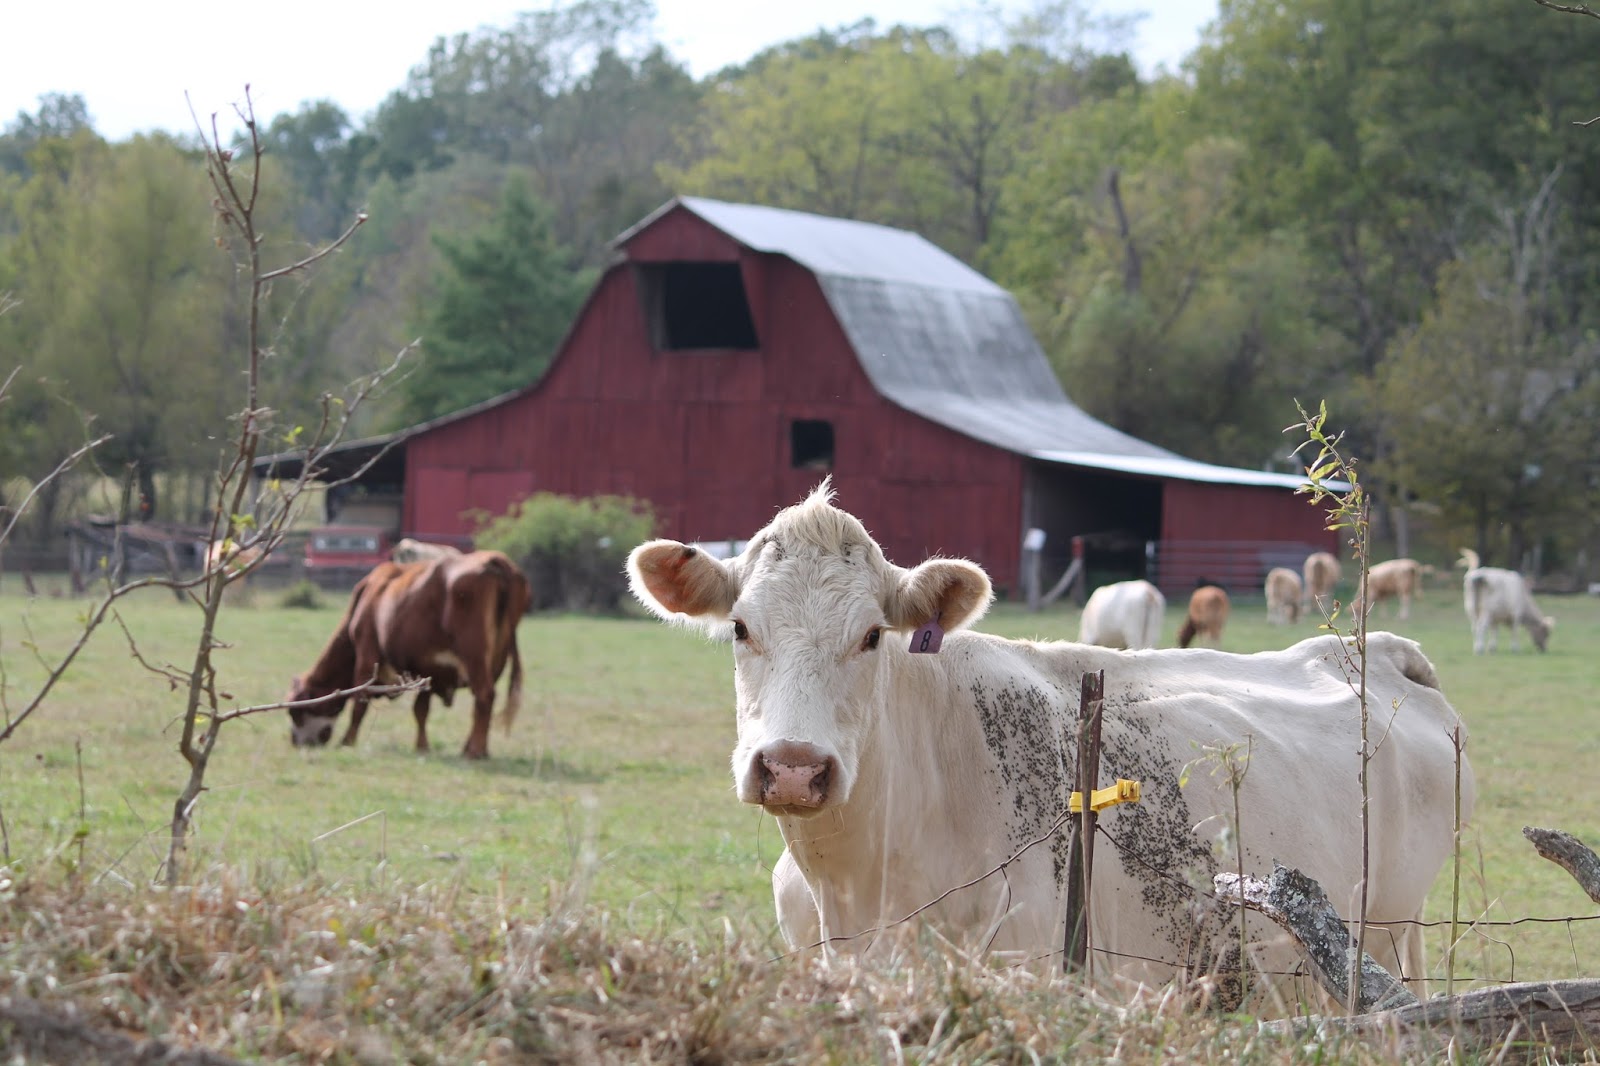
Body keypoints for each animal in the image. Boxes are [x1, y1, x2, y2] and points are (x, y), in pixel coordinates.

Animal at [288, 550, 531, 758]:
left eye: (294, 711)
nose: (295, 742)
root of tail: (493, 558)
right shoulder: (430, 669)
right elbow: (421, 710)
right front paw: (422, 746)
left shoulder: (367, 653)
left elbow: (359, 702)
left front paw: (347, 741)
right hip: (495, 659)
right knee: (483, 702)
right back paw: (473, 747)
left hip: (474, 653)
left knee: (484, 695)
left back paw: (475, 751)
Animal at [628, 483, 1472, 1008]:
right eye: (741, 627)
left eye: (871, 636)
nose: (795, 769)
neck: (857, 885)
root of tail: (1372, 651)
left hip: (1379, 946)